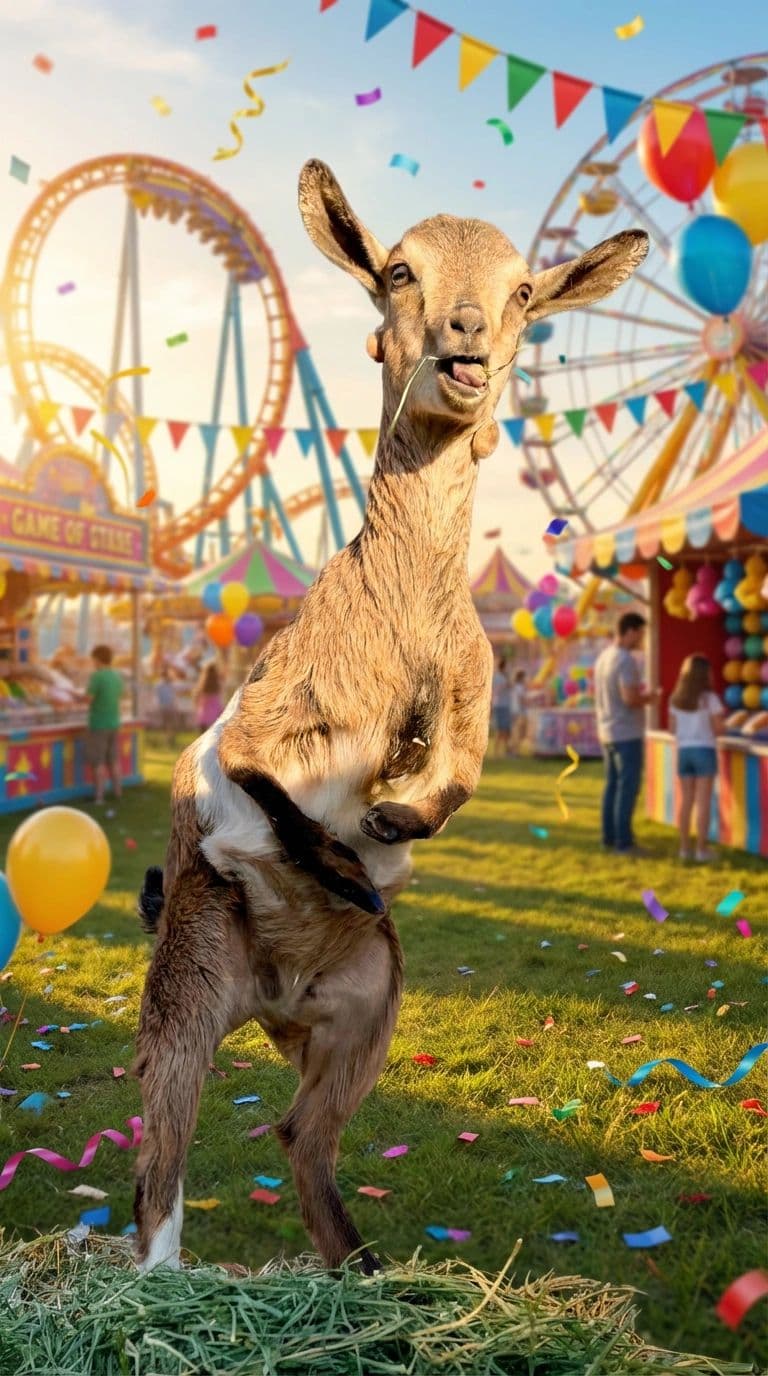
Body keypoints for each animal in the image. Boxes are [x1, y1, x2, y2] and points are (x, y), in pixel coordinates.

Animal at [132, 159, 648, 1274]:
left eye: (526, 291)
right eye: (399, 271)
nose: (467, 340)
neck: (398, 616)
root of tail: (275, 996)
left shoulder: (469, 689)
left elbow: (453, 779)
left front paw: (389, 821)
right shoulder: (250, 728)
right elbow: (269, 792)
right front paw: (350, 854)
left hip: (367, 1008)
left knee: (299, 1134)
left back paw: (365, 1274)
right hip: (191, 983)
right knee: (163, 1163)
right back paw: (169, 1277)